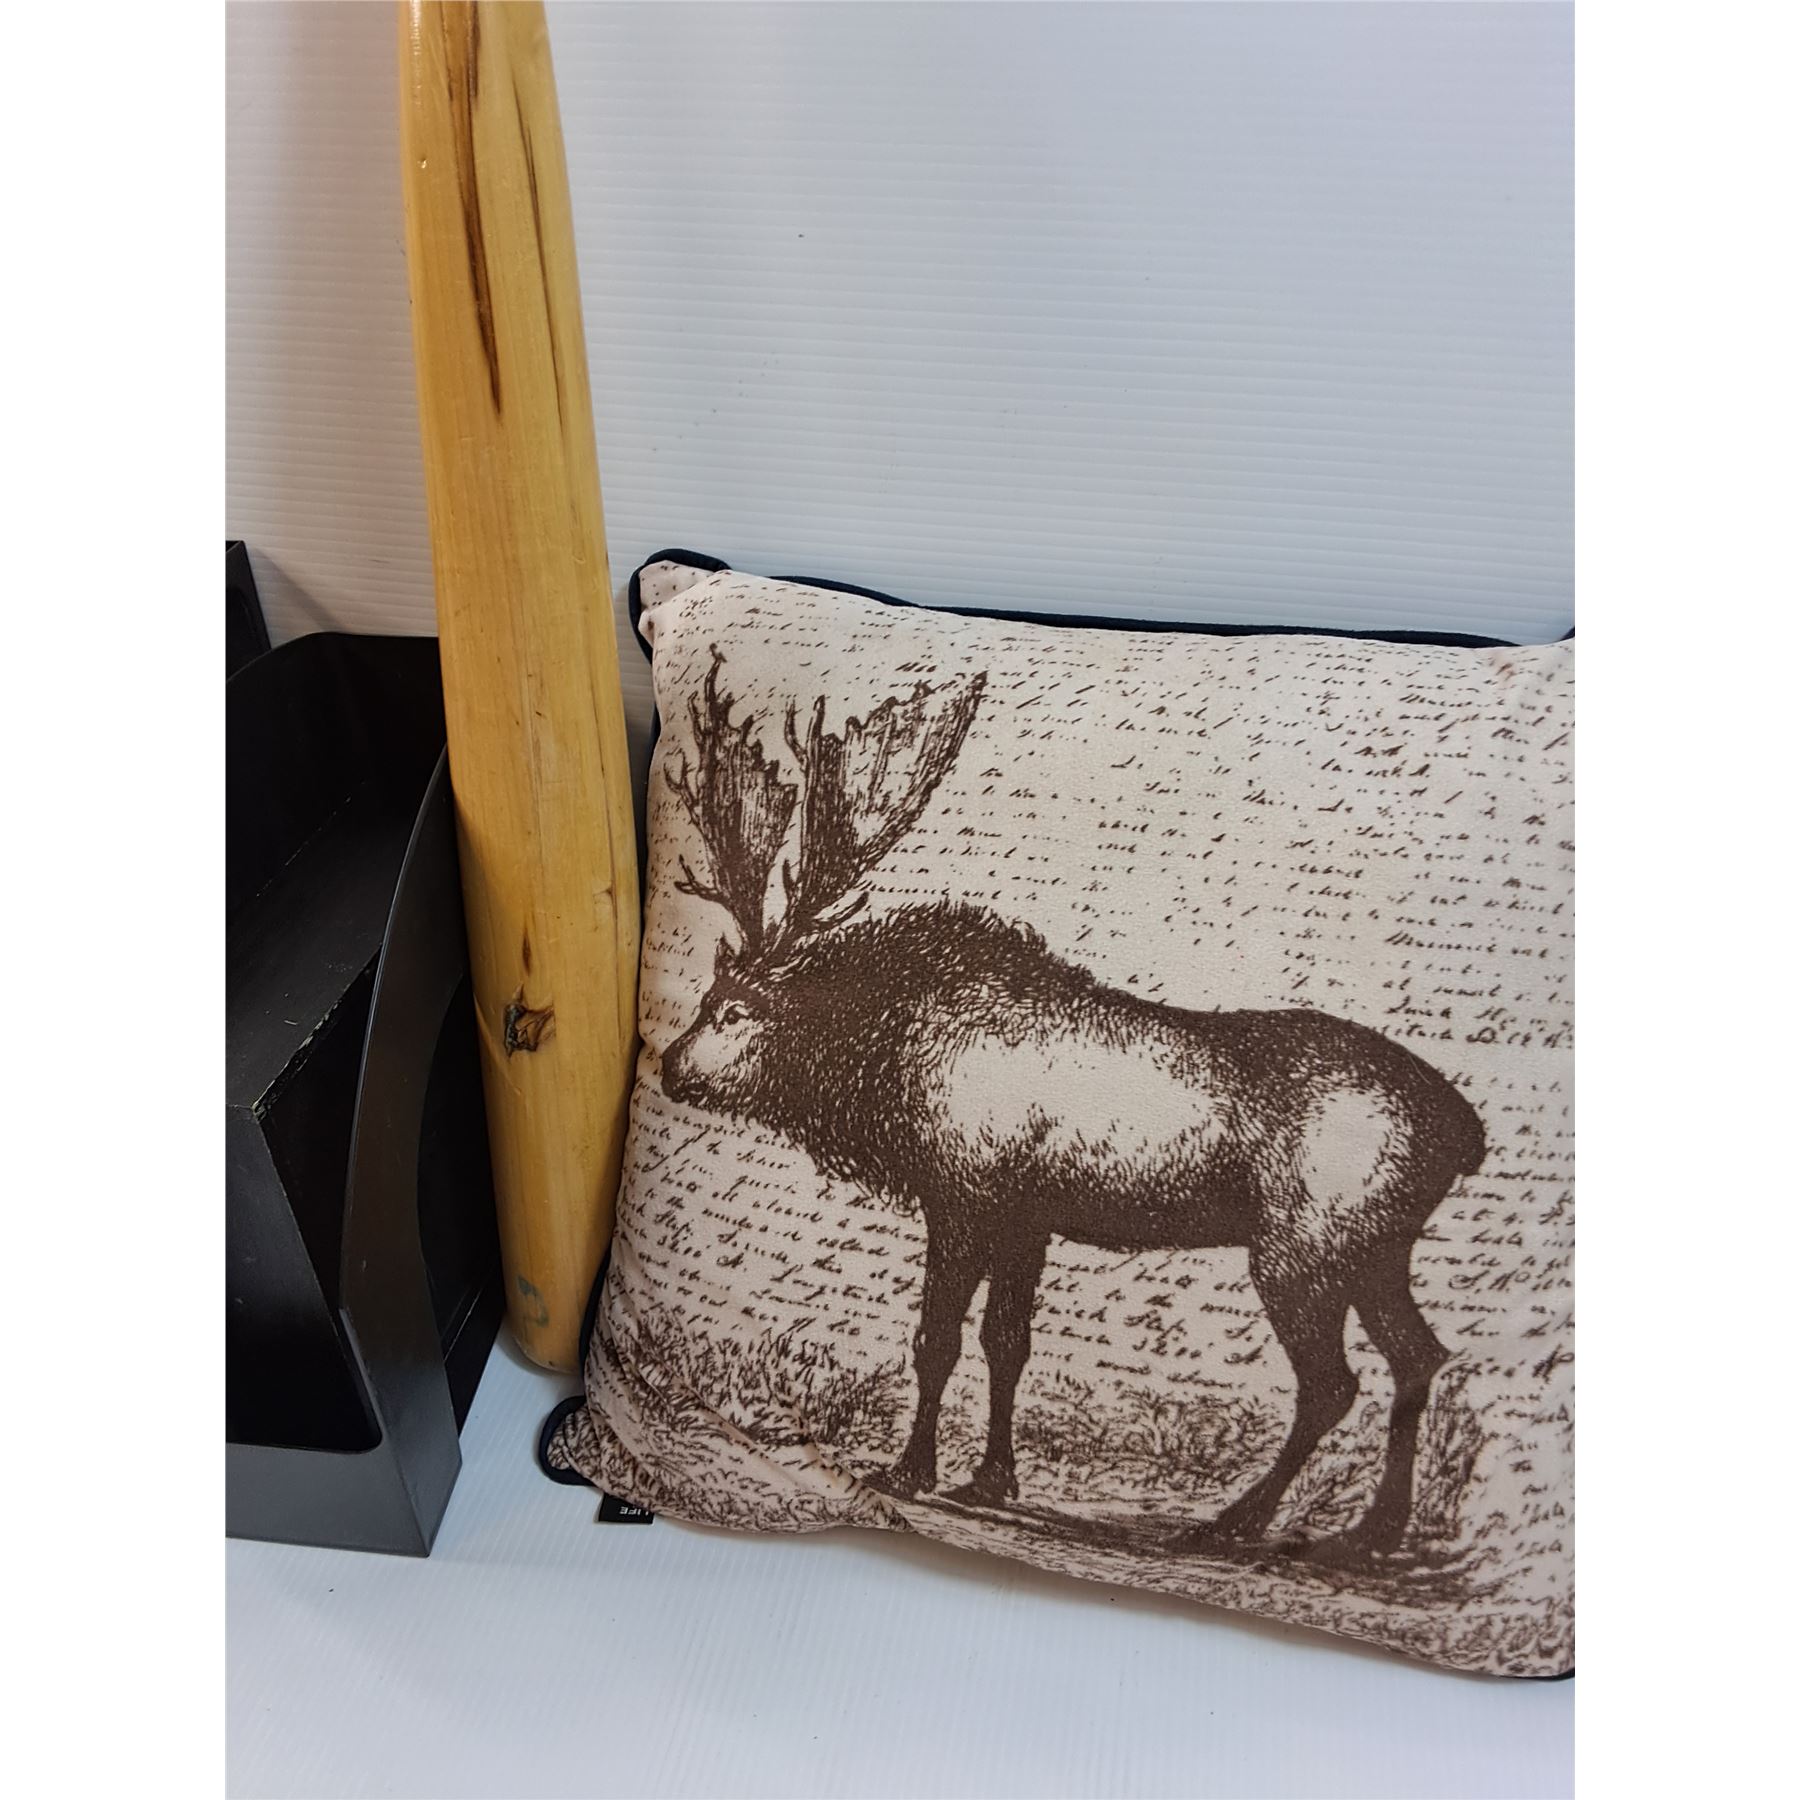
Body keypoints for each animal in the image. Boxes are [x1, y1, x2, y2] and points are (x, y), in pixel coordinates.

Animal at [658, 648, 1486, 1558]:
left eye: (733, 1010)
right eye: (704, 995)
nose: (667, 1068)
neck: (885, 1058)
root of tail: (1466, 1135)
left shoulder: (963, 1195)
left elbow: (938, 1339)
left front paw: (908, 1471)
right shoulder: (1029, 1216)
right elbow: (1008, 1343)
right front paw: (989, 1479)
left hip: (1305, 1248)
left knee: (1334, 1384)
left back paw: (1233, 1523)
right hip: (1378, 1252)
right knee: (1419, 1357)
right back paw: (1373, 1530)